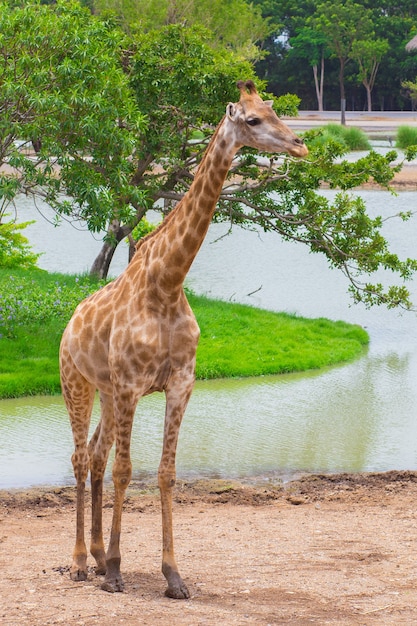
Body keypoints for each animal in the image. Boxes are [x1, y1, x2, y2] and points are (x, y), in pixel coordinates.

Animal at [61, 80, 308, 596]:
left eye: (273, 108)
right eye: (252, 120)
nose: (300, 145)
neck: (168, 283)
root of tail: (70, 322)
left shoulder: (180, 384)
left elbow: (166, 474)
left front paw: (172, 575)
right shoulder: (132, 385)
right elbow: (127, 471)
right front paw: (117, 571)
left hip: (107, 392)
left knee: (94, 455)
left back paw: (95, 555)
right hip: (77, 381)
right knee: (80, 457)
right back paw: (79, 562)